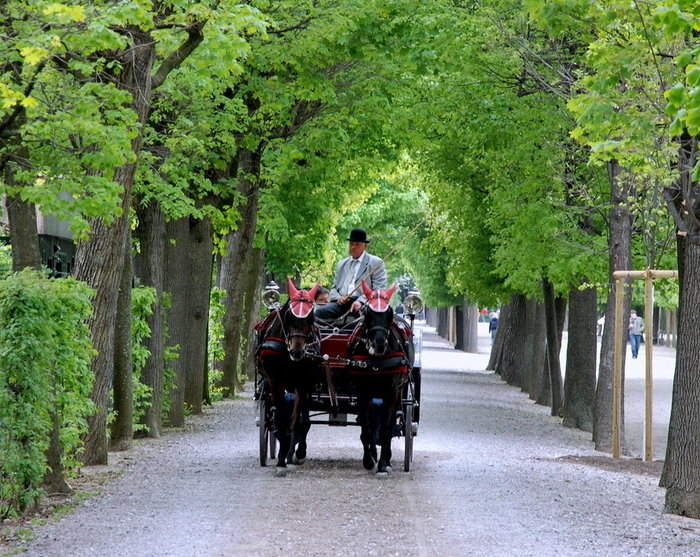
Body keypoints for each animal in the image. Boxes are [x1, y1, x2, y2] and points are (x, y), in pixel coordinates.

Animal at [254, 278, 320, 474]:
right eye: (290, 316)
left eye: (311, 317)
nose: (297, 351)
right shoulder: (275, 382)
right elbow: (281, 419)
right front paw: (281, 459)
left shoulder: (303, 383)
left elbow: (298, 420)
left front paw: (296, 453)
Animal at [350, 282, 416, 474]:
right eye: (366, 312)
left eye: (390, 312)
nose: (378, 344)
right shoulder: (363, 392)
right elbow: (366, 427)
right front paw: (368, 460)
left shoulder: (392, 393)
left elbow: (387, 428)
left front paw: (382, 465)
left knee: (392, 421)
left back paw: (386, 458)